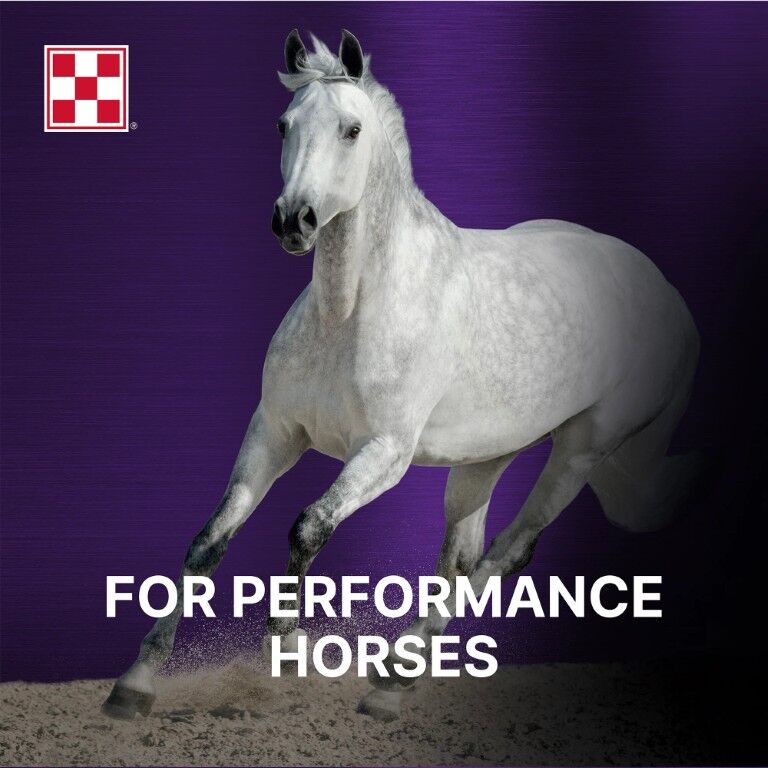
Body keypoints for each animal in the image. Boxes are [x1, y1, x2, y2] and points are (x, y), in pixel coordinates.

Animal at [103, 29, 701, 722]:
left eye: (352, 129)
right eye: (284, 124)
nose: (294, 221)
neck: (349, 313)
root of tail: (665, 293)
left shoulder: (385, 452)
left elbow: (309, 527)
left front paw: (286, 652)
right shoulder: (275, 432)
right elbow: (209, 540)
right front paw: (136, 684)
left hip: (581, 450)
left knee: (509, 550)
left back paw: (394, 673)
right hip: (484, 457)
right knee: (462, 555)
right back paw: (397, 681)